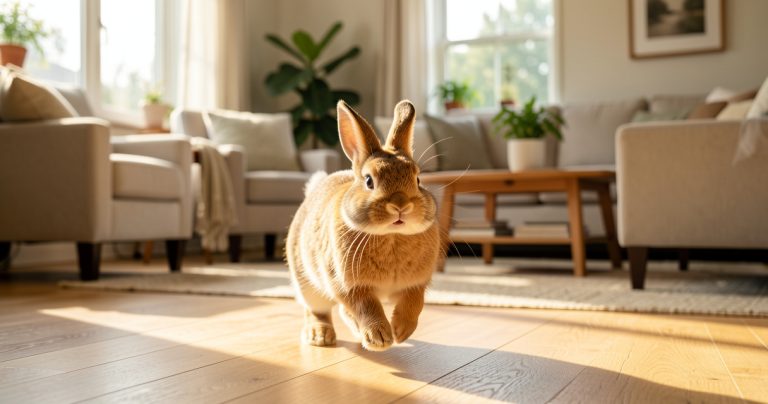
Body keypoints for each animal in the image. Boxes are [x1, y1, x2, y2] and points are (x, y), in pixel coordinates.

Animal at [286, 100, 441, 351]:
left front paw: (401, 331)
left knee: (342, 312)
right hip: (308, 285)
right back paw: (320, 336)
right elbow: (366, 307)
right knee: (318, 310)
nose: (400, 205)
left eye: (417, 180)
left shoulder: (416, 285)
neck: (392, 235)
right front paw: (380, 338)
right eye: (369, 181)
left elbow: (414, 303)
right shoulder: (349, 286)